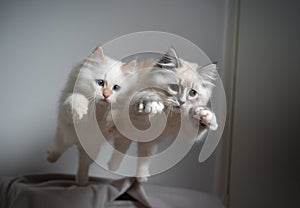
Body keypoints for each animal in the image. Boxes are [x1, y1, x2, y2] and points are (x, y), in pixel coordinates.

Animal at [47, 46, 137, 184]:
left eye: (116, 88)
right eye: (100, 83)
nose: (106, 95)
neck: (98, 110)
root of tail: (77, 144)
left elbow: (112, 117)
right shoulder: (67, 115)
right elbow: (76, 99)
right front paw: (81, 109)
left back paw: (87, 178)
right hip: (64, 136)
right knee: (58, 149)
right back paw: (51, 158)